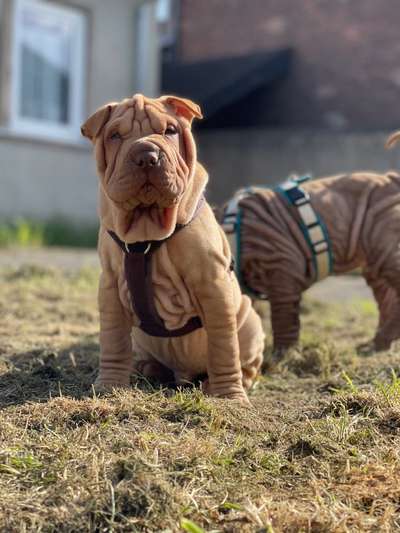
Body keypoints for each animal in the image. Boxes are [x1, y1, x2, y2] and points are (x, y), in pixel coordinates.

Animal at [81, 93, 264, 406]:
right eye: (115, 135)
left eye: (170, 130)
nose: (146, 155)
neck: (147, 232)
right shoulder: (110, 286)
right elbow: (114, 341)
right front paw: (109, 386)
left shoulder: (213, 285)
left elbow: (224, 346)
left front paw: (230, 396)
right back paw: (147, 369)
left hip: (251, 322)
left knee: (247, 361)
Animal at [222, 139, 400, 356]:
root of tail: (391, 179)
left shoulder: (283, 268)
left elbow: (284, 316)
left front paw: (283, 355)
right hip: (374, 255)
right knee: (386, 295)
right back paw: (376, 344)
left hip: (383, 241)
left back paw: (380, 340)